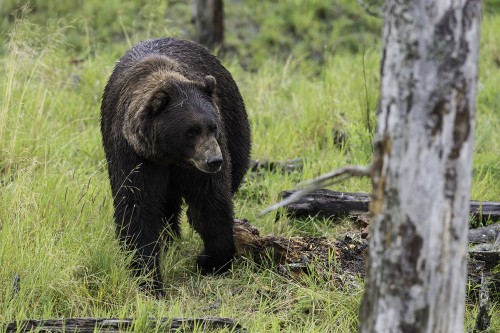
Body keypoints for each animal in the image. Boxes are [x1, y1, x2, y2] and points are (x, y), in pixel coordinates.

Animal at [100, 37, 252, 294]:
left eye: (213, 126)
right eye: (191, 131)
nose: (215, 161)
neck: (169, 155)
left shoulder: (197, 167)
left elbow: (211, 201)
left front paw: (211, 261)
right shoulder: (134, 157)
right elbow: (137, 208)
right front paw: (149, 280)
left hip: (235, 123)